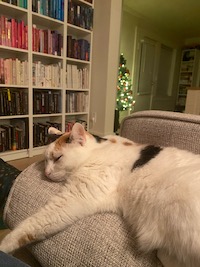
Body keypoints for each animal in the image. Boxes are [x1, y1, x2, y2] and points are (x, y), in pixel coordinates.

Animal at [0, 124, 200, 267]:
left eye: (57, 158)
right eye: (45, 160)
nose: (46, 173)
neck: (96, 150)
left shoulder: (72, 198)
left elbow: (31, 225)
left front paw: (4, 246)